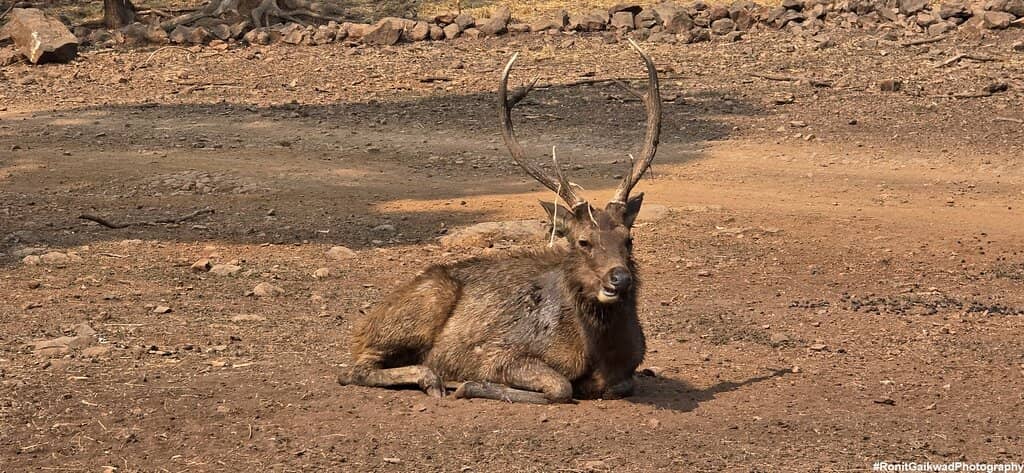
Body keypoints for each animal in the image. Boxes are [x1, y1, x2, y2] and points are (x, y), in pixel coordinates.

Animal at [337, 39, 662, 404]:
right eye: (583, 241)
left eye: (628, 239)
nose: (619, 279)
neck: (599, 353)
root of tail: (364, 323)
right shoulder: (496, 352)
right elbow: (560, 386)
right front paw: (467, 384)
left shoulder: (630, 369)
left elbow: (621, 384)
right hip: (421, 306)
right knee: (351, 370)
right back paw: (431, 378)